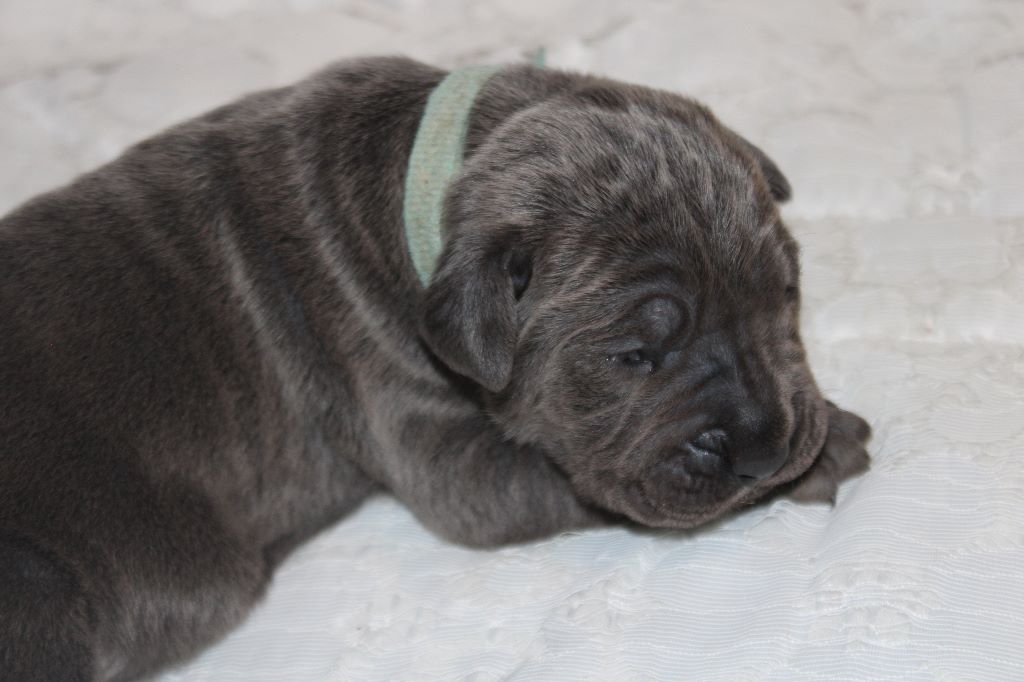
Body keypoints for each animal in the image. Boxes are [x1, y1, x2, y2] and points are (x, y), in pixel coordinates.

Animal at [0, 59, 868, 679]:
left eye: (785, 298)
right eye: (634, 357)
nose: (763, 444)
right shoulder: (435, 438)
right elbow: (559, 484)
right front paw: (827, 452)